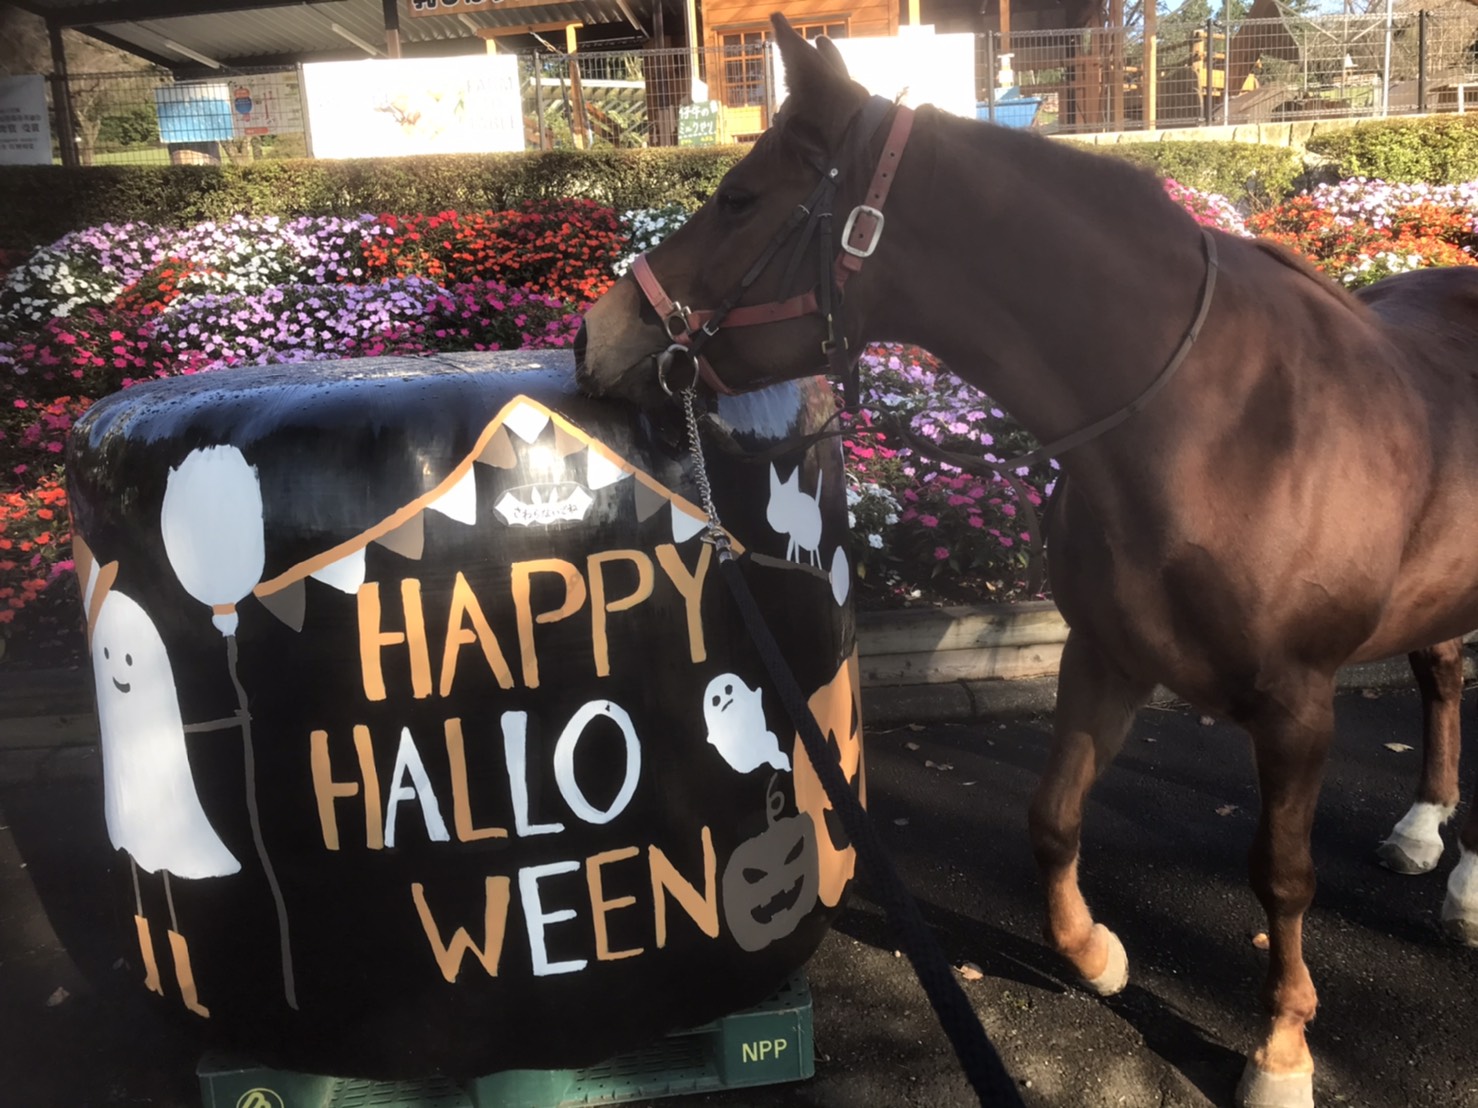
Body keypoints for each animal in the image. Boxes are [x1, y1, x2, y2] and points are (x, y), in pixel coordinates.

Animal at [574, 15, 1478, 1106]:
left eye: (740, 198)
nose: (594, 335)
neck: (1220, 428)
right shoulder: (1104, 655)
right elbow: (1051, 816)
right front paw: (1094, 954)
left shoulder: (1297, 705)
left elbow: (1282, 875)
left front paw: (1281, 1049)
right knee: (1440, 674)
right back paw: (1426, 827)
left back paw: (1464, 882)